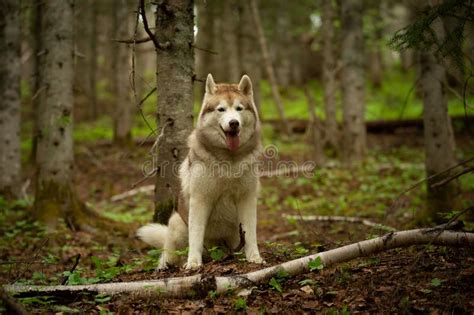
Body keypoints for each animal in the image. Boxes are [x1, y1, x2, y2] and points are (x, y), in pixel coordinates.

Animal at [137, 74, 264, 272]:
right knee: (170, 253)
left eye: (239, 108)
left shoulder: (247, 198)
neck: (229, 160)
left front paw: (254, 258)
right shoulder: (200, 199)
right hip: (177, 223)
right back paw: (166, 265)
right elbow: (196, 235)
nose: (233, 123)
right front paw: (193, 262)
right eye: (221, 109)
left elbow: (250, 232)